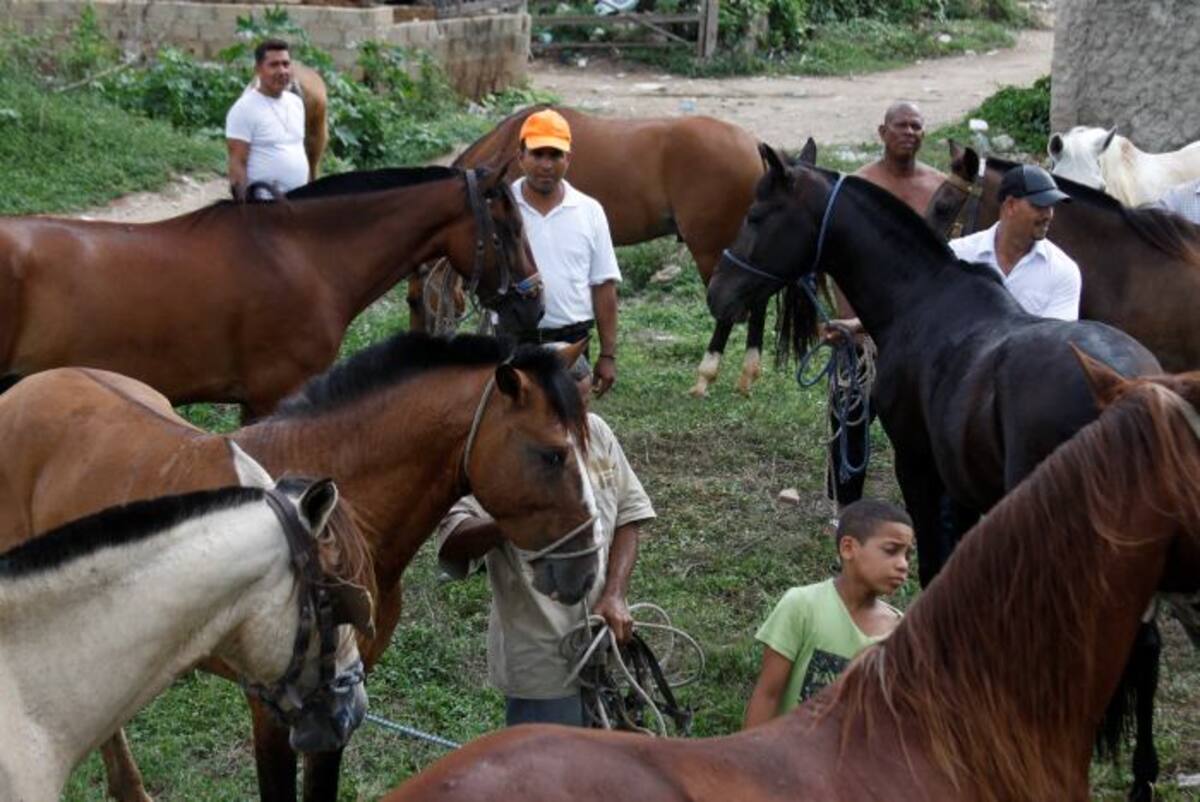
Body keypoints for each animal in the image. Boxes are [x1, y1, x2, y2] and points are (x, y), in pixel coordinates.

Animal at [412, 104, 769, 397]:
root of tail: (752, 143)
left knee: (728, 312)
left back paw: (705, 377)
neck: (508, 148)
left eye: (416, 301)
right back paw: (747, 376)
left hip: (712, 249)